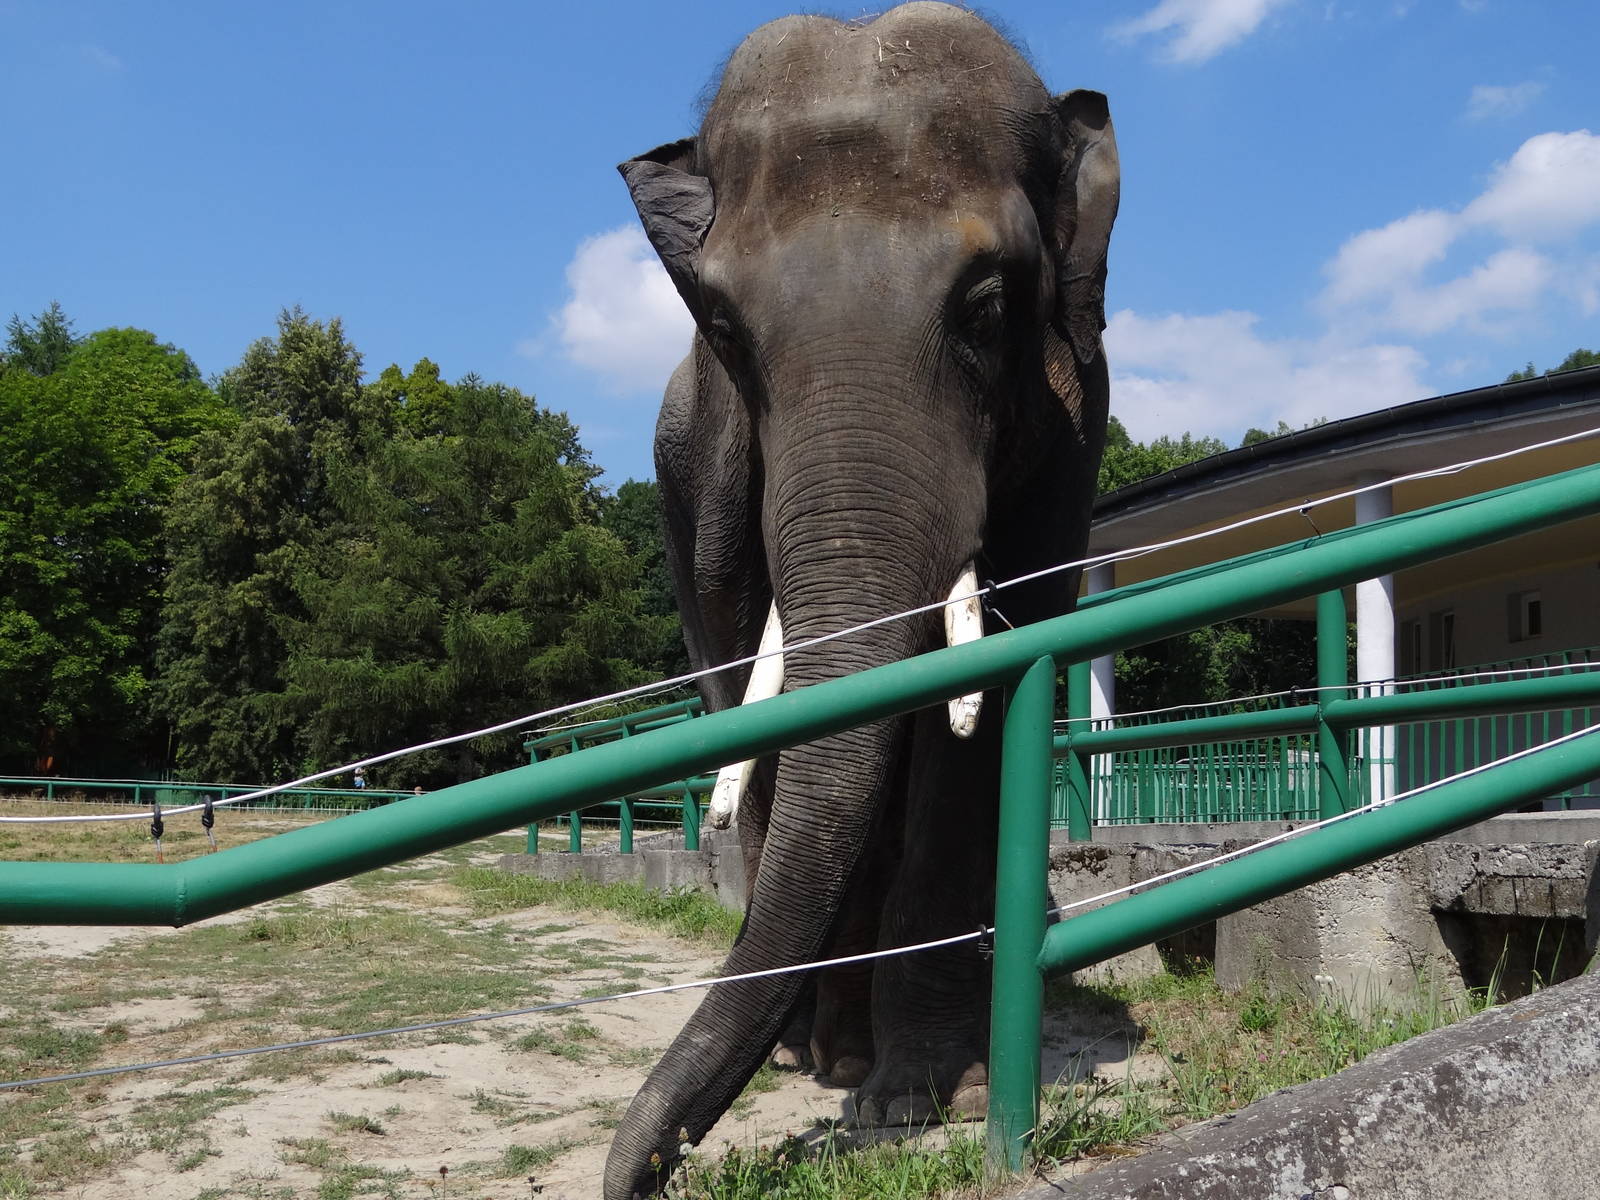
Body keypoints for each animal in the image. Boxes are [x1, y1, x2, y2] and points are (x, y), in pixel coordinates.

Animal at [604, 5, 1118, 1196]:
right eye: (723, 328)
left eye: (988, 305)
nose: (652, 1165)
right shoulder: (705, 482)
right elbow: (768, 711)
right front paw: (858, 1078)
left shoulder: (1077, 424)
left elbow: (980, 707)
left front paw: (922, 1097)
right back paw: (818, 1050)